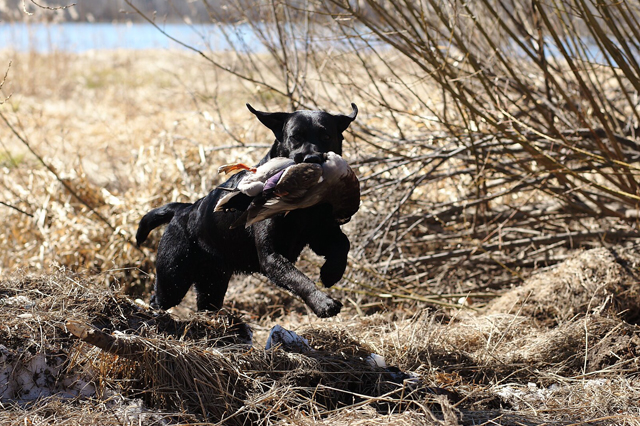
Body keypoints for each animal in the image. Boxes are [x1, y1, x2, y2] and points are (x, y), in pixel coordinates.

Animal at [135, 102, 358, 316]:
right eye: (295, 136)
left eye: (326, 136)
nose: (312, 159)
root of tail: (184, 209)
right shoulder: (270, 257)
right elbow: (298, 278)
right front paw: (323, 303)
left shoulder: (320, 235)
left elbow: (343, 244)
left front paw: (331, 272)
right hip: (174, 277)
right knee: (158, 299)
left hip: (212, 282)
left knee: (205, 305)